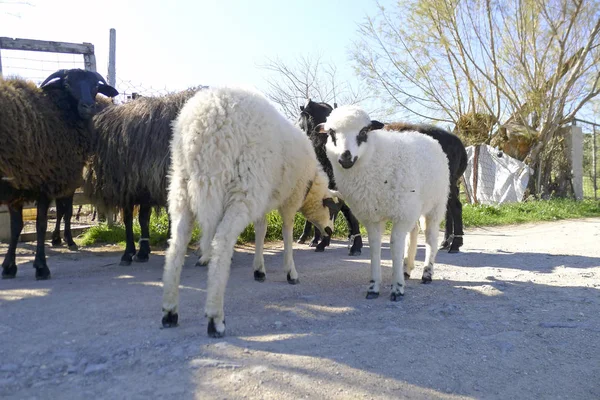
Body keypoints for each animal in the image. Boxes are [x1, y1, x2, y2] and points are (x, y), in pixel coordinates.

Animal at [0, 69, 118, 280]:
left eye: (95, 86)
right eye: (67, 85)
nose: (88, 106)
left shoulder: (22, 188)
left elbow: (18, 226)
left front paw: (9, 266)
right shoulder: (45, 182)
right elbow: (41, 223)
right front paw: (41, 266)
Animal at [83, 87, 203, 266]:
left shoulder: (140, 185)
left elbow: (141, 219)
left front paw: (138, 252)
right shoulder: (131, 188)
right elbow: (130, 219)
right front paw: (133, 252)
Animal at [162, 85, 340, 338]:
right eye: (331, 211)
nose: (329, 231)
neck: (310, 184)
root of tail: (203, 123)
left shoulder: (263, 200)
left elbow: (261, 230)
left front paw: (259, 270)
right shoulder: (289, 200)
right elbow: (287, 233)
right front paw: (291, 272)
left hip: (182, 187)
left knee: (176, 245)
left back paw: (170, 311)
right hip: (243, 184)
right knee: (222, 242)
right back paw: (215, 318)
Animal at [314, 105, 450, 300]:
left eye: (364, 131)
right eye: (331, 133)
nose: (345, 158)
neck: (375, 158)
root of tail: (428, 138)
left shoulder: (401, 214)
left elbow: (395, 246)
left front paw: (397, 288)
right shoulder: (373, 216)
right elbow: (375, 247)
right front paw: (373, 287)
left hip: (435, 204)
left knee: (430, 237)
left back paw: (427, 273)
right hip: (412, 207)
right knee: (414, 232)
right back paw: (407, 268)